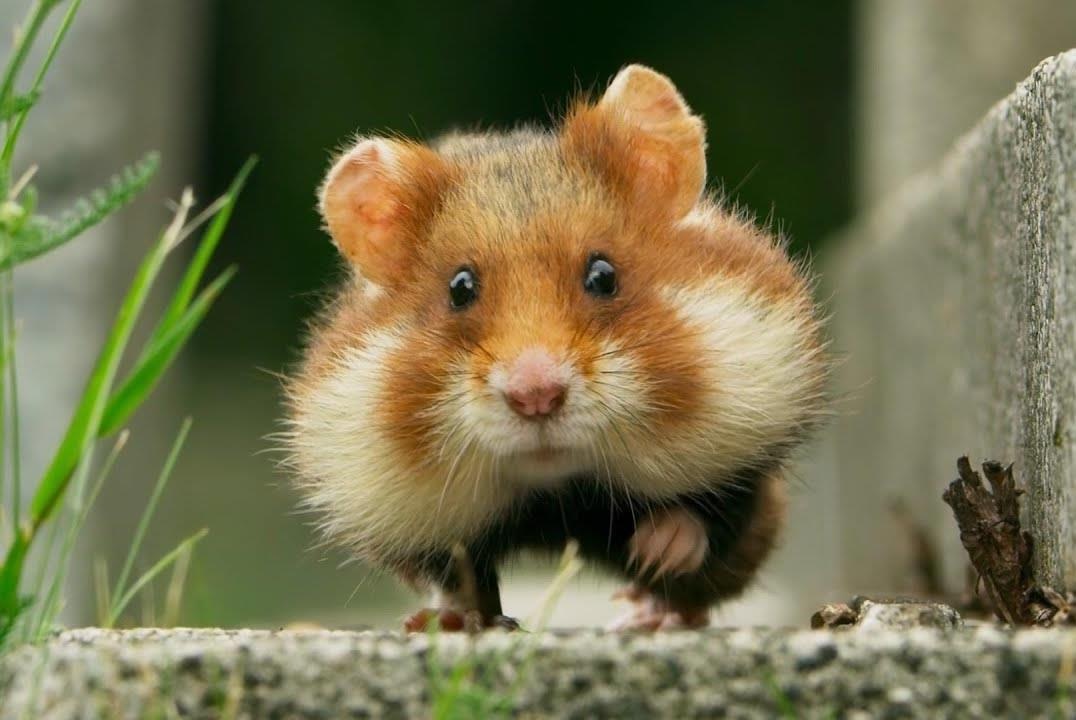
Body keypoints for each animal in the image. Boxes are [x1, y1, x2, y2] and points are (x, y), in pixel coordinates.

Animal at [284, 65, 829, 631]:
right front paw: (454, 619)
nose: (536, 396)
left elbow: (707, 518)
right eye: (459, 289)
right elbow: (459, 572)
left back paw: (647, 614)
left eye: (603, 275)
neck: (559, 492)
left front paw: (657, 550)